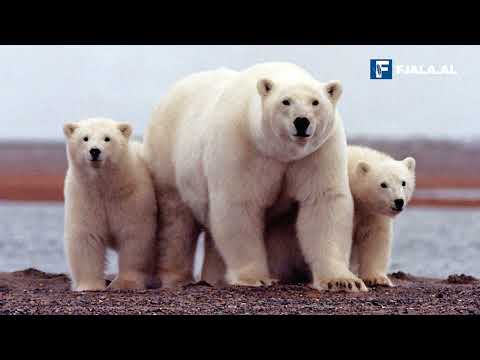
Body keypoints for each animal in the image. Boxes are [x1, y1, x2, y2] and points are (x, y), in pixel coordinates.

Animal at [144, 62, 366, 292]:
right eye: (285, 101)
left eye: (315, 102)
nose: (302, 121)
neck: (280, 151)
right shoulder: (243, 146)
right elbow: (240, 205)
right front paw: (255, 277)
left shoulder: (317, 152)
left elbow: (323, 202)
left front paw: (342, 281)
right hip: (167, 158)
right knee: (176, 221)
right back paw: (177, 278)